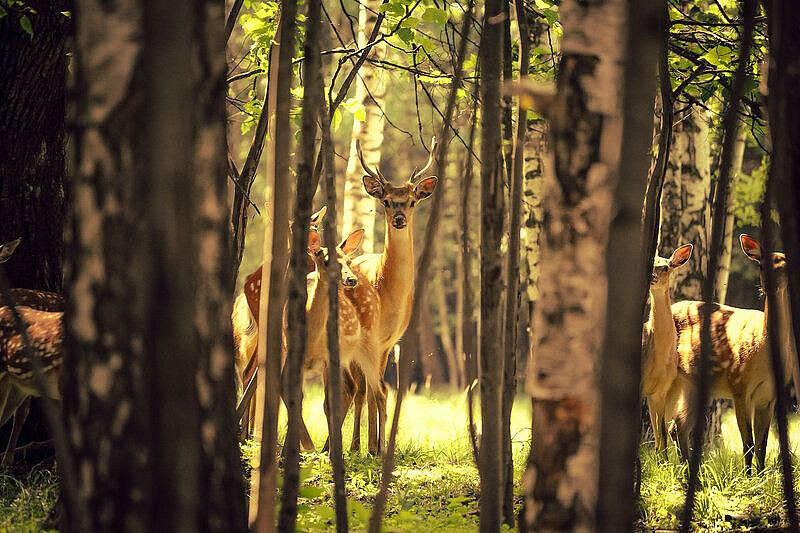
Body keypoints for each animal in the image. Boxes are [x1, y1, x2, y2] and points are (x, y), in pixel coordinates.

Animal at [348, 138, 440, 454]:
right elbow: (374, 392)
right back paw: (353, 446)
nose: (399, 218)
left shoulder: (388, 342)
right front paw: (372, 448)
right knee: (357, 389)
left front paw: (380, 446)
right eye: (386, 201)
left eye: (412, 200)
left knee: (363, 389)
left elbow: (382, 393)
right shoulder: (371, 340)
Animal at [672, 235, 796, 472]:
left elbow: (762, 445)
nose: (767, 286)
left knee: (679, 426)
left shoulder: (770, 396)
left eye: (784, 266)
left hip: (691, 383)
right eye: (760, 264)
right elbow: (748, 444)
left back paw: (684, 471)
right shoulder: (739, 386)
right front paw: (748, 478)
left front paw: (760, 476)